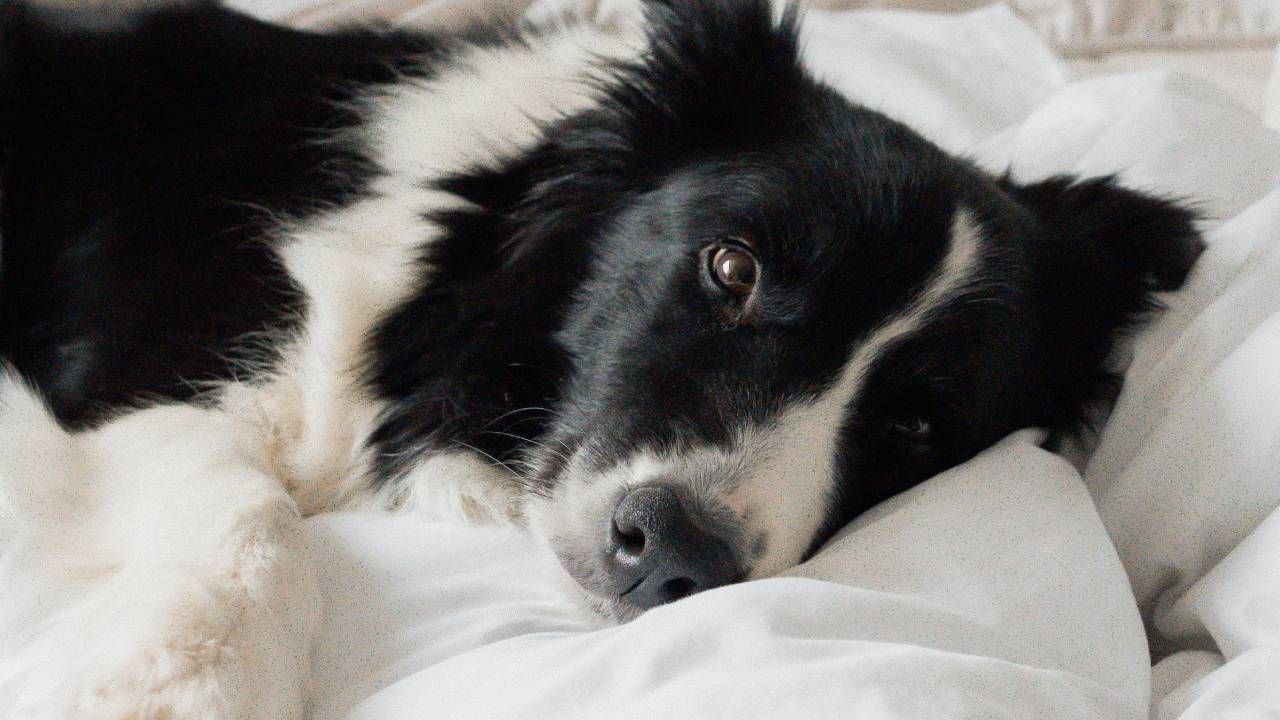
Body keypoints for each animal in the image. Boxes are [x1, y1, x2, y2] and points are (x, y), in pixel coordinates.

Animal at [0, 1, 1198, 712]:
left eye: (915, 425)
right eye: (730, 267)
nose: (673, 553)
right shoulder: (137, 385)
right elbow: (252, 519)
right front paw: (177, 687)